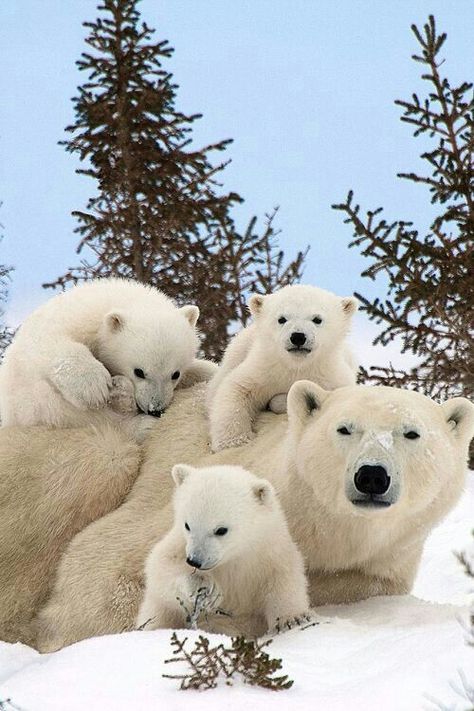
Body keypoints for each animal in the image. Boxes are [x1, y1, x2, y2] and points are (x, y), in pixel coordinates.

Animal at [35, 382, 474, 652]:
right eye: (344, 428)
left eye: (411, 433)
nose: (371, 476)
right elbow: (108, 558)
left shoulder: (387, 558)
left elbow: (355, 585)